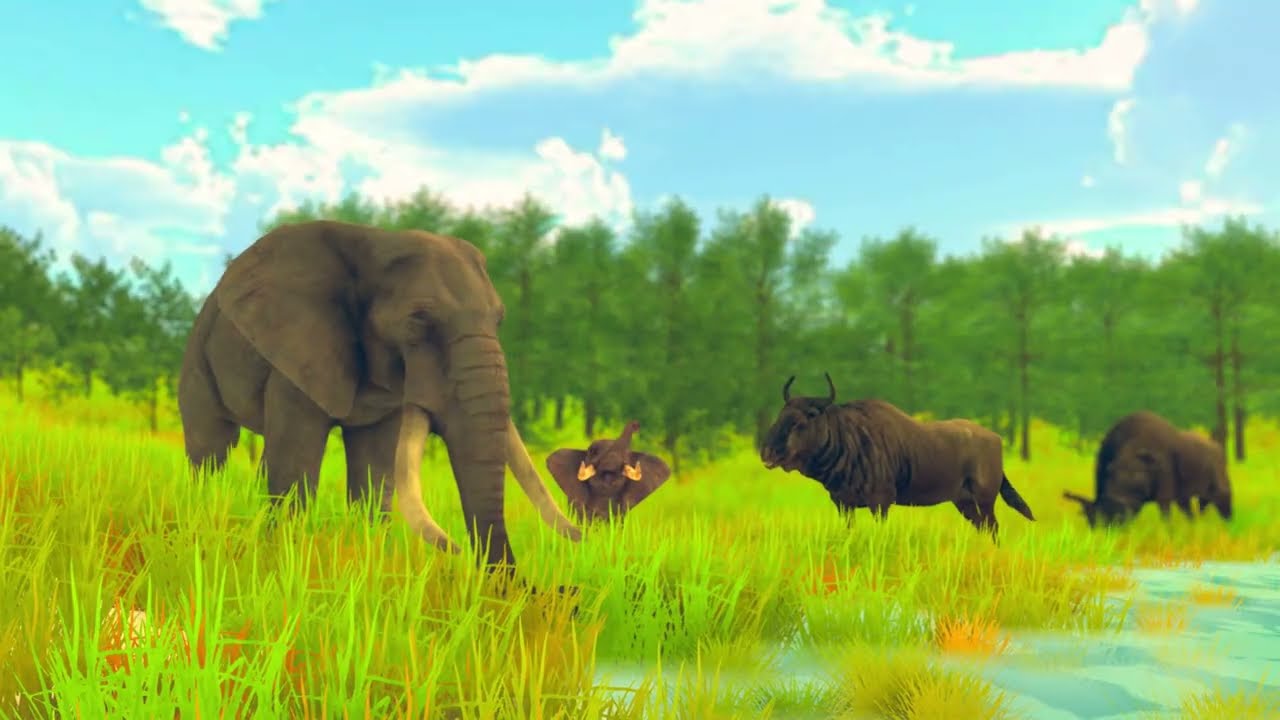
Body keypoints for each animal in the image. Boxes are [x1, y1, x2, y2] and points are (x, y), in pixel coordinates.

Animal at [177, 219, 582, 570]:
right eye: (419, 320)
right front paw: (281, 562)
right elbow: (294, 468)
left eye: (499, 319)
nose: (455, 549)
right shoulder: (298, 352)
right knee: (211, 446)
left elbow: (373, 474)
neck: (376, 242)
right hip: (198, 351)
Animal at [759, 373, 1035, 537]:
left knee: (993, 527)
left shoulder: (880, 502)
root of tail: (996, 439)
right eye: (780, 416)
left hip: (985, 499)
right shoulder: (842, 503)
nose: (767, 452)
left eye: (802, 421)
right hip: (964, 502)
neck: (848, 441)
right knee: (982, 528)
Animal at [1063, 410, 1233, 527]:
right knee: (1195, 511)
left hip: (1222, 491)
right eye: (1092, 520)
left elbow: (1166, 519)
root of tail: (1218, 449)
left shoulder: (1164, 497)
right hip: (1186, 498)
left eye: (1137, 474)